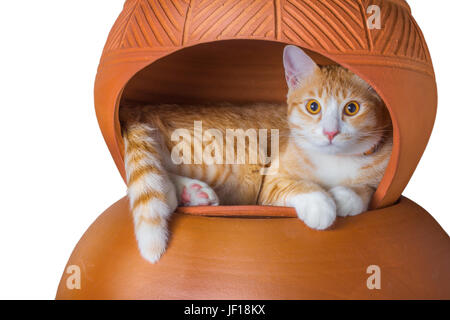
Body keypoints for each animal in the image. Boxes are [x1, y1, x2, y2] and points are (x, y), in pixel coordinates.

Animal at [120, 45, 394, 264]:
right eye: (313, 106)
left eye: (352, 108)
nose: (330, 132)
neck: (335, 159)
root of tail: (140, 108)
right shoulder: (270, 183)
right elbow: (297, 186)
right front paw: (321, 204)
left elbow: (367, 190)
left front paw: (346, 196)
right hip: (239, 160)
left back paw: (191, 194)